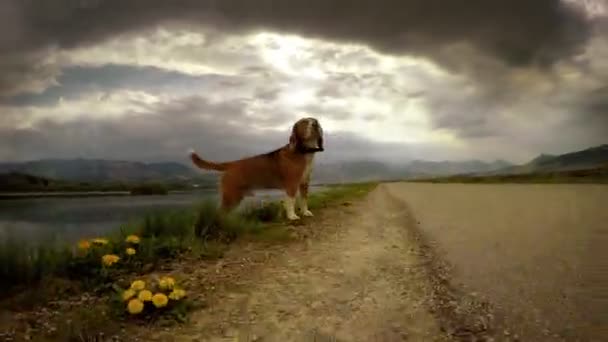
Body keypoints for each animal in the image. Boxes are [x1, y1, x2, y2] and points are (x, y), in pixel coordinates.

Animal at [189, 116, 324, 220]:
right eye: (304, 122)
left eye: (314, 120)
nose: (315, 123)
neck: (303, 151)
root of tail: (232, 163)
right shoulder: (292, 185)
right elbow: (291, 202)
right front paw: (292, 216)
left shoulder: (304, 183)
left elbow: (304, 200)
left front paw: (305, 212)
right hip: (231, 196)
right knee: (219, 213)